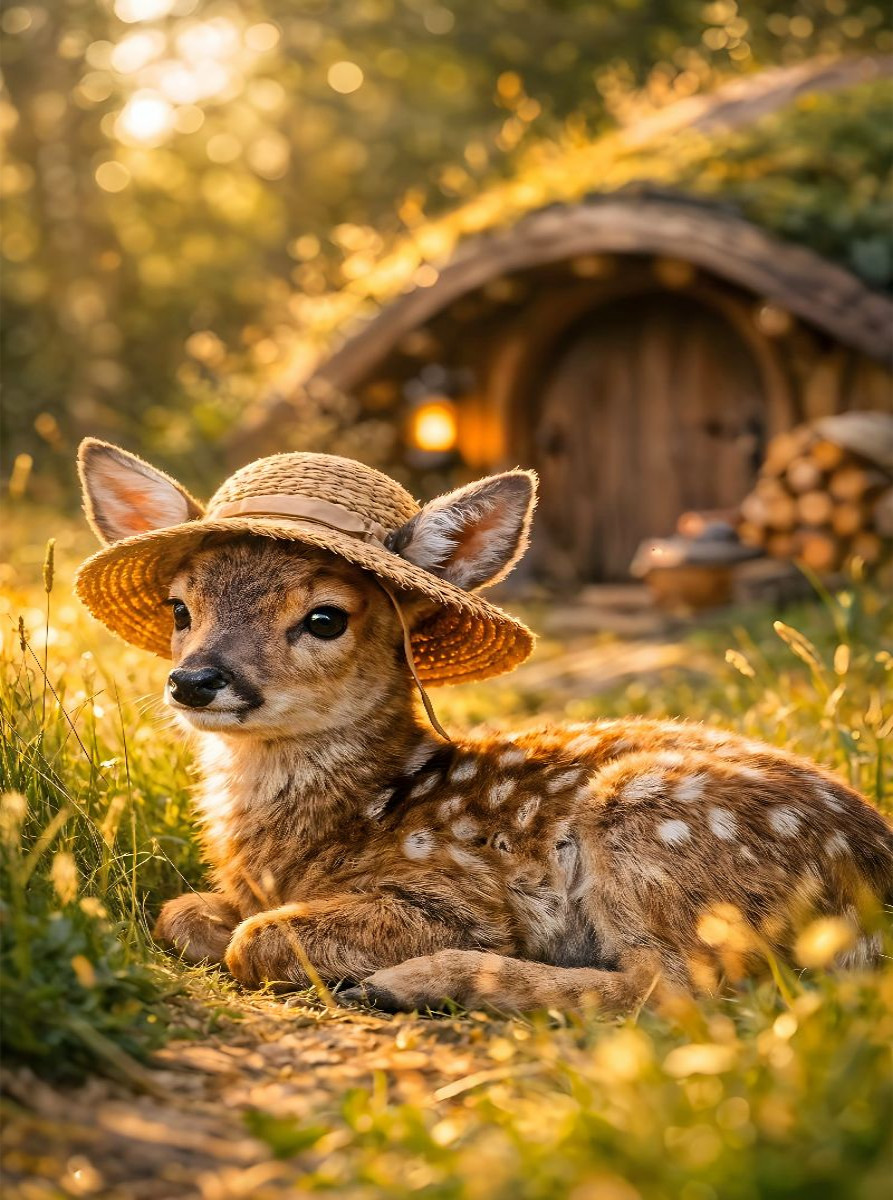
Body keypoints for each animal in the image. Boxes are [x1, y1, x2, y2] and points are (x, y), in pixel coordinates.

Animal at [75, 439, 893, 1014]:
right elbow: (178, 912)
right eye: (179, 607)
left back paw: (407, 984)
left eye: (325, 617)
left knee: (677, 992)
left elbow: (256, 938)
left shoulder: (457, 896)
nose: (195, 680)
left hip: (649, 826)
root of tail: (874, 902)